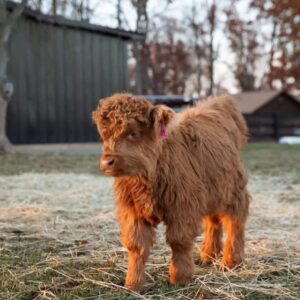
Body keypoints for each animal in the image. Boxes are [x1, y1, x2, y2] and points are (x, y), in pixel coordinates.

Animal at [92, 93, 251, 290]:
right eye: (104, 136)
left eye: (133, 133)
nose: (107, 162)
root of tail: (220, 101)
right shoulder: (131, 209)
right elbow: (136, 246)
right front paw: (133, 284)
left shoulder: (183, 206)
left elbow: (179, 241)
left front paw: (180, 278)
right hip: (212, 190)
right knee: (213, 221)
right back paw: (208, 255)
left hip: (234, 190)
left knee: (235, 223)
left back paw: (231, 261)